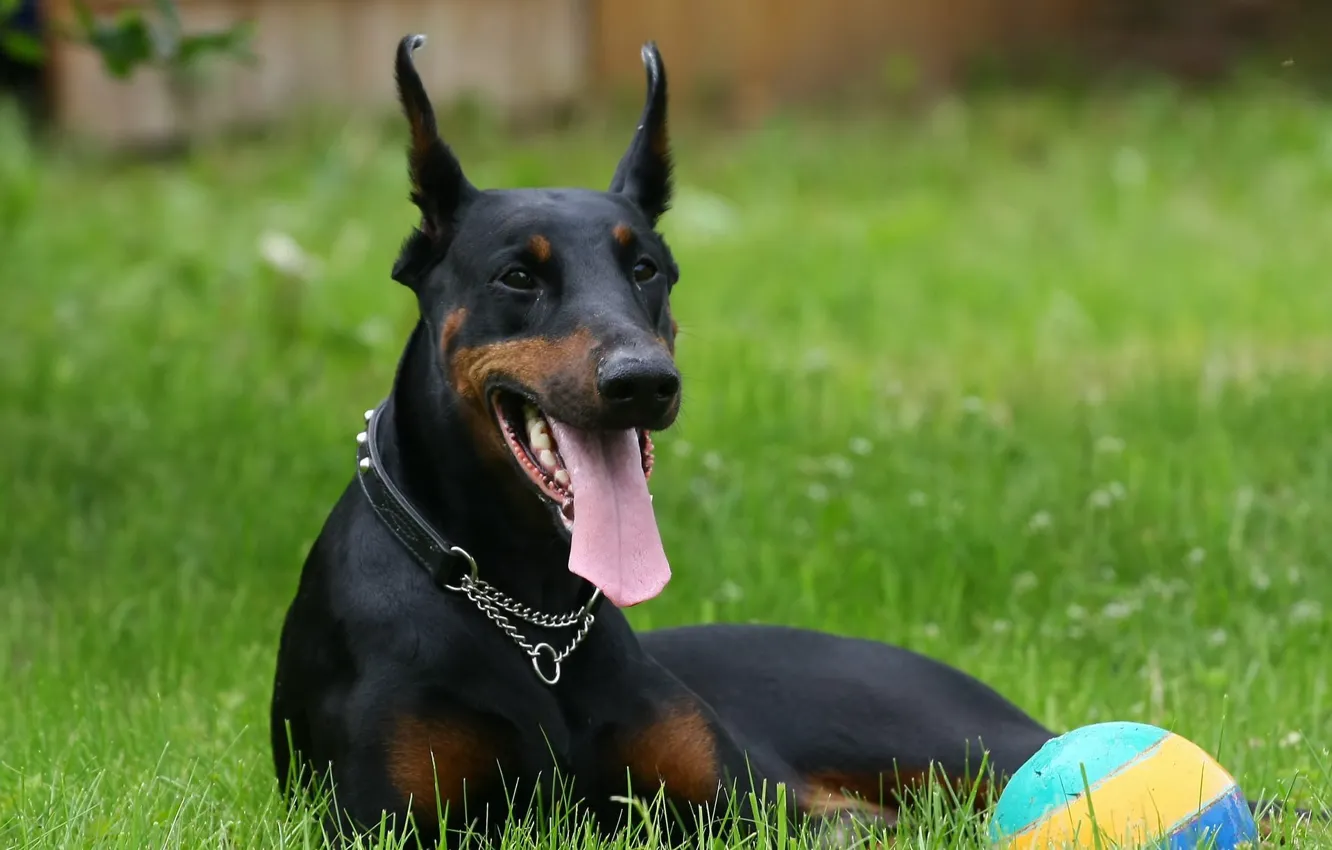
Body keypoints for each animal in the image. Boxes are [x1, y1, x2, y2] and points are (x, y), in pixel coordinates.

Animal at [267, 34, 1300, 850]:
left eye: (648, 269)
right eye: (519, 275)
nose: (644, 381)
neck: (530, 614)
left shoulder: (752, 807)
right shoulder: (392, 823)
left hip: (957, 744)